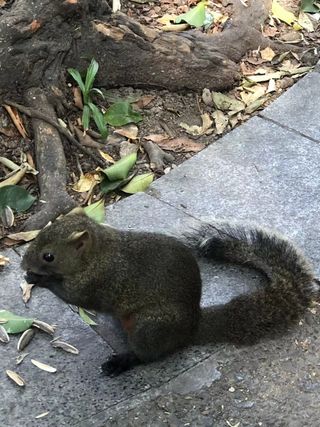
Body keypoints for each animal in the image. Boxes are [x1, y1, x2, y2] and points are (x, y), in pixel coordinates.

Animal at [21, 209, 318, 376]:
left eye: (49, 256)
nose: (24, 264)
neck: (97, 254)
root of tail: (192, 327)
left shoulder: (100, 280)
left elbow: (76, 297)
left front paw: (38, 279)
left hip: (150, 325)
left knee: (146, 355)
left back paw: (123, 362)